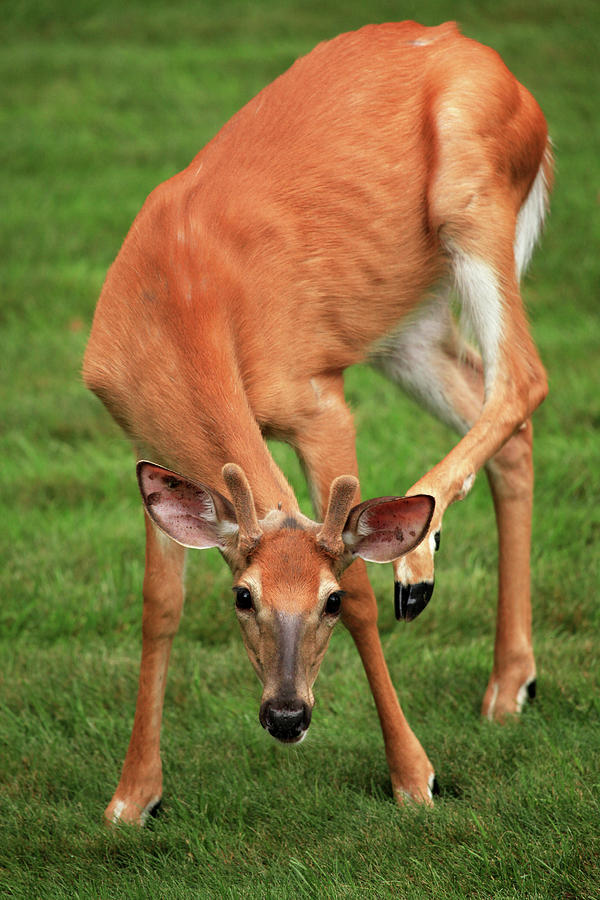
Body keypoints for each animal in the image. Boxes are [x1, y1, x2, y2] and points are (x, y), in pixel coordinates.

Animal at [83, 19, 552, 824]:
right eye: (242, 597)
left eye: (326, 603)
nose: (287, 716)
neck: (180, 312)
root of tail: (486, 56)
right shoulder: (144, 437)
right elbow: (159, 607)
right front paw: (132, 796)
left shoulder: (316, 399)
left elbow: (362, 584)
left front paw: (414, 777)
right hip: (403, 326)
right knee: (500, 418)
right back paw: (507, 684)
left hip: (476, 197)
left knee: (523, 378)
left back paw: (420, 567)